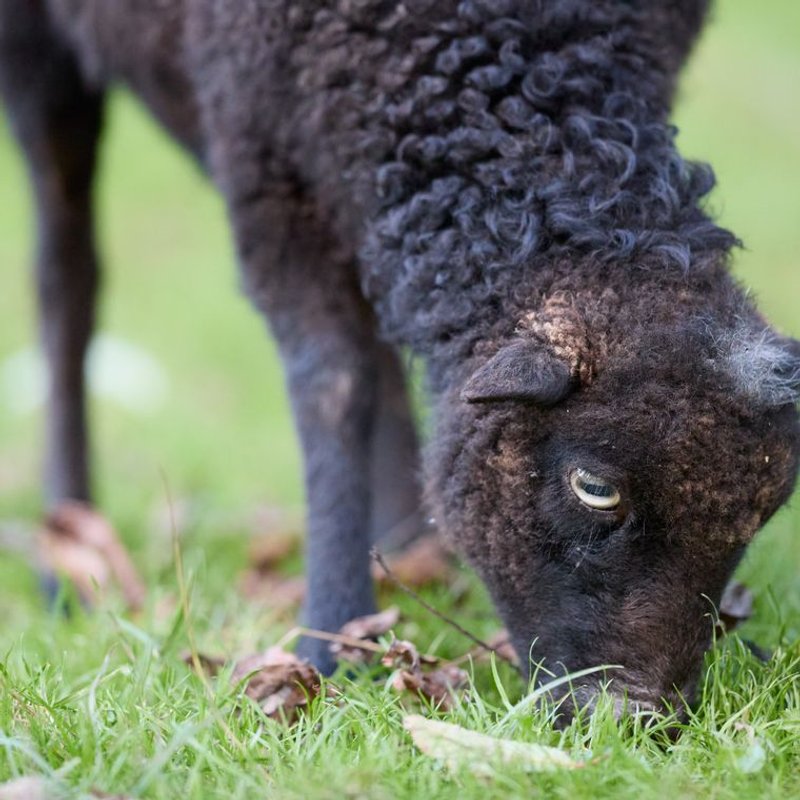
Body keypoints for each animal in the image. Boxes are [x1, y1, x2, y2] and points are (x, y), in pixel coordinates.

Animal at [1, 0, 798, 718]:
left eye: (763, 513)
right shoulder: (265, 159)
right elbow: (334, 383)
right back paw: (68, 550)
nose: (634, 721)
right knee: (67, 274)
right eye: (594, 487)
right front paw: (329, 644)